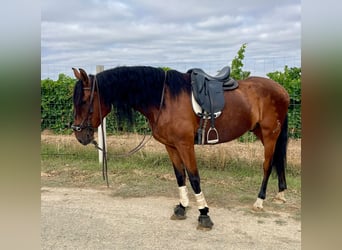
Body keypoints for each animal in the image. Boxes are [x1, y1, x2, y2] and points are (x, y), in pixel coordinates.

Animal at [71, 66, 288, 230]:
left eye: (84, 101)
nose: (79, 135)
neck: (164, 99)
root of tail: (281, 90)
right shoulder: (171, 146)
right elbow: (180, 175)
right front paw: (182, 208)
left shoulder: (185, 145)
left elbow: (194, 177)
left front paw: (204, 215)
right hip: (261, 132)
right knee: (276, 161)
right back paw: (280, 193)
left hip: (270, 134)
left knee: (267, 166)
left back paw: (259, 201)